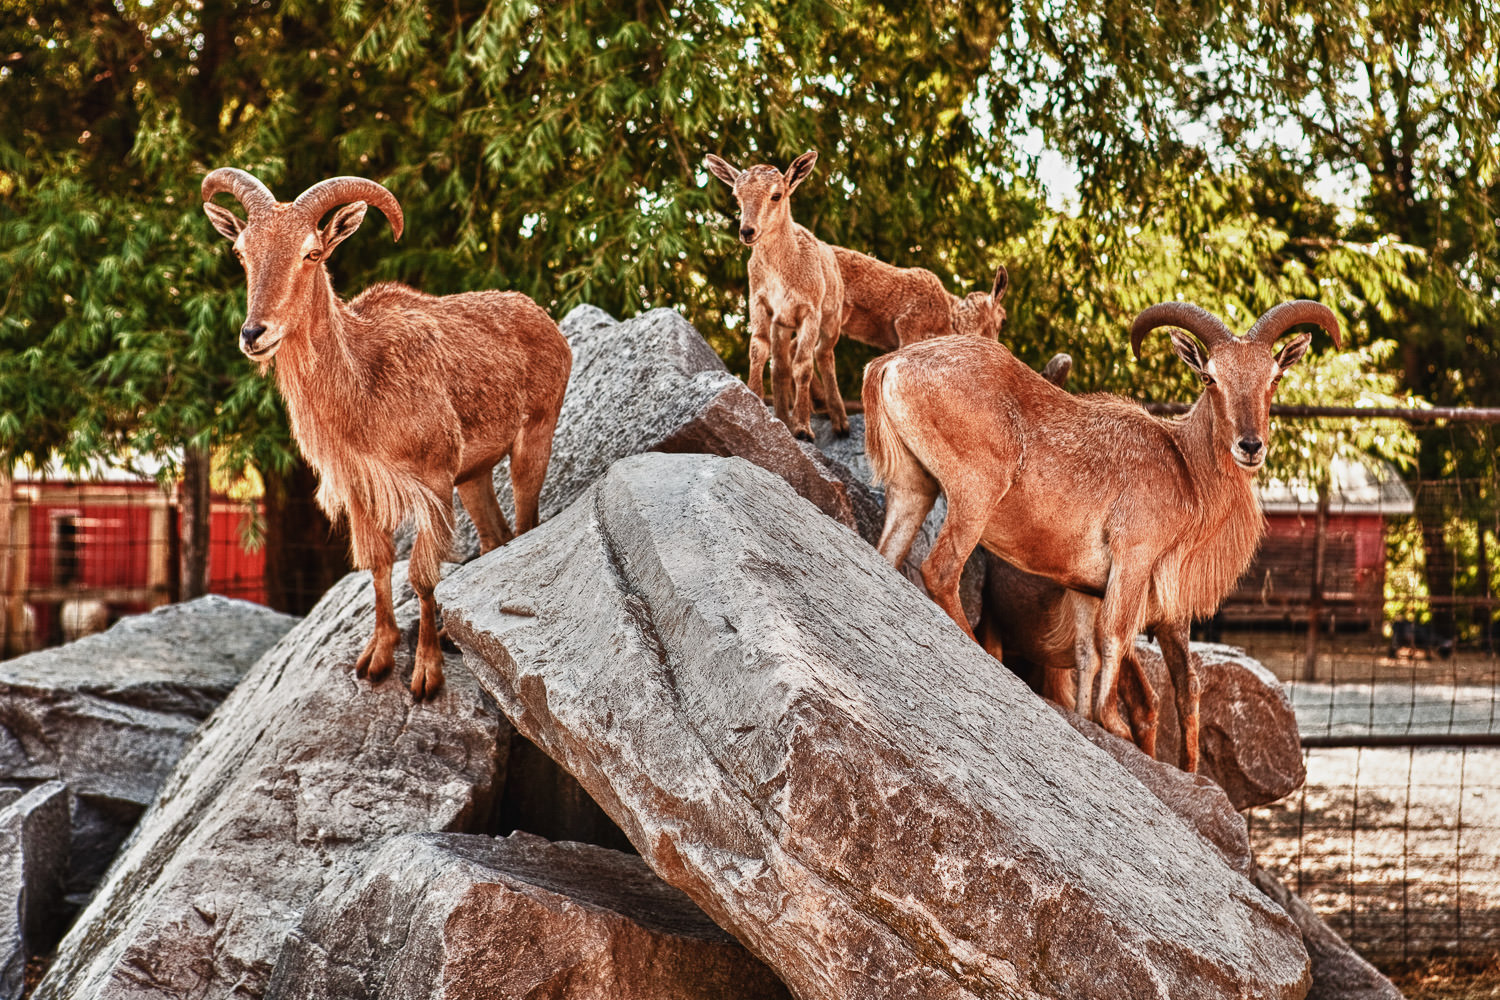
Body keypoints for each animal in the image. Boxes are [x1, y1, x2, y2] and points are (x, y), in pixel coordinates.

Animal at [202, 168, 572, 700]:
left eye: (312, 252)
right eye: (241, 252)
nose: (255, 334)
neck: (364, 380)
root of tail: (545, 319)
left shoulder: (432, 481)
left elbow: (421, 575)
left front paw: (426, 674)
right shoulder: (359, 486)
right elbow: (377, 563)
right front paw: (376, 659)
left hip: (534, 438)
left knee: (524, 526)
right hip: (474, 474)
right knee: (495, 536)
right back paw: (455, 633)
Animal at [705, 151, 846, 440]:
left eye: (777, 195)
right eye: (737, 196)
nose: (747, 231)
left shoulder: (810, 310)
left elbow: (803, 365)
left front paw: (803, 428)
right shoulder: (760, 303)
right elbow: (759, 349)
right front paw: (754, 402)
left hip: (832, 316)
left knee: (824, 353)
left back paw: (840, 422)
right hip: (782, 325)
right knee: (780, 366)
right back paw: (783, 416)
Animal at [864, 301, 1340, 771]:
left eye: (1274, 378)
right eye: (1209, 377)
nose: (1250, 446)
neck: (1185, 469)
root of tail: (892, 364)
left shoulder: (1085, 588)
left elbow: (1090, 656)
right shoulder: (1134, 558)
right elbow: (1115, 640)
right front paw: (1112, 725)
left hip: (913, 486)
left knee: (888, 553)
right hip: (975, 495)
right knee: (941, 570)